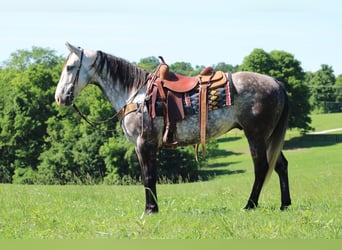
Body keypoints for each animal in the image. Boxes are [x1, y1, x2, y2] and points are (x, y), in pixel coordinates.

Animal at [54, 42, 292, 213]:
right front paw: (154, 208)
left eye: (70, 67)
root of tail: (276, 83)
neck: (136, 94)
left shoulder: (144, 144)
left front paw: (150, 210)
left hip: (256, 136)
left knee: (262, 168)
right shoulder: (146, 146)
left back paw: (250, 205)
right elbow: (150, 176)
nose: (59, 98)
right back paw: (285, 204)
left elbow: (148, 177)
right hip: (268, 137)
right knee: (280, 165)